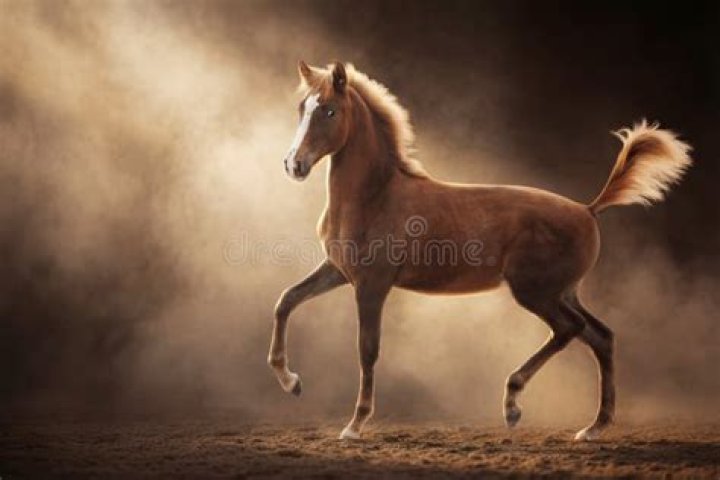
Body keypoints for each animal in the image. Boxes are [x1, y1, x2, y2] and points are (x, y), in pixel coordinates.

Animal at [268, 60, 692, 441]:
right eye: (302, 107)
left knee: (569, 329)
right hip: (563, 291)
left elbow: (367, 349)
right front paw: (291, 382)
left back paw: (513, 403)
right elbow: (286, 300)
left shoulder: (372, 284)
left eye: (329, 110)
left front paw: (354, 426)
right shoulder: (339, 271)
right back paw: (593, 428)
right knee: (601, 336)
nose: (293, 164)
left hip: (535, 291)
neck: (375, 196)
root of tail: (588, 209)